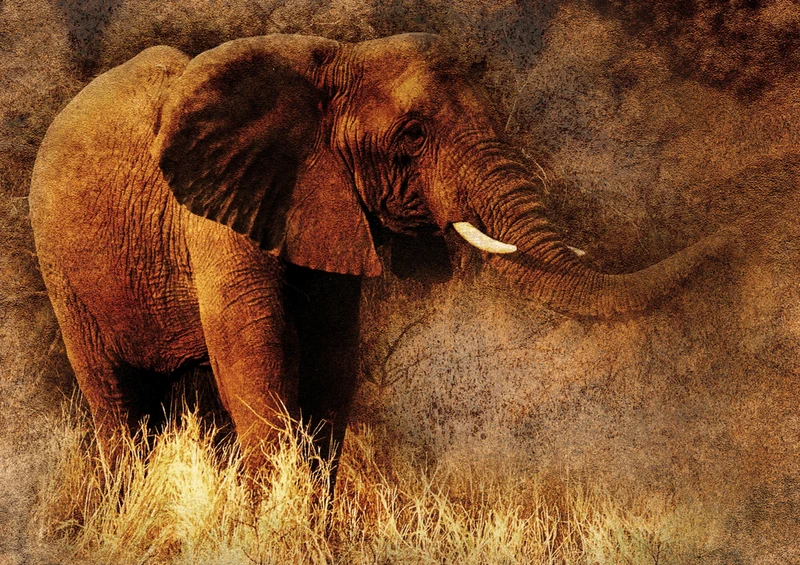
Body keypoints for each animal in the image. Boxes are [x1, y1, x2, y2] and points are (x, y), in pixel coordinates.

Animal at [29, 33, 733, 480]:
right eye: (413, 136)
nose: (735, 230)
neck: (333, 59)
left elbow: (330, 353)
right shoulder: (210, 208)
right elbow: (255, 349)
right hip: (57, 261)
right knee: (116, 398)